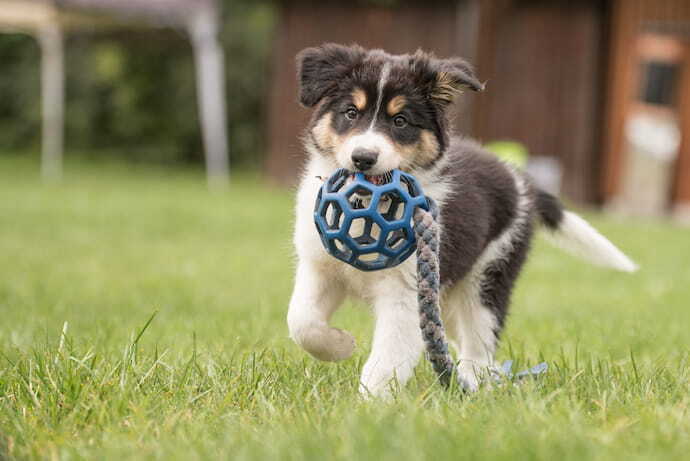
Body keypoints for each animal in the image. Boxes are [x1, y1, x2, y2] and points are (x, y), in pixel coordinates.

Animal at [284, 42, 636, 396]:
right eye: (350, 113)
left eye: (400, 121)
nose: (363, 158)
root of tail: (520, 180)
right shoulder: (319, 266)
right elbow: (301, 321)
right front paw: (341, 345)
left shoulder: (405, 292)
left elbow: (387, 358)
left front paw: (372, 401)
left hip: (488, 276)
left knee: (479, 344)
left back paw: (472, 383)